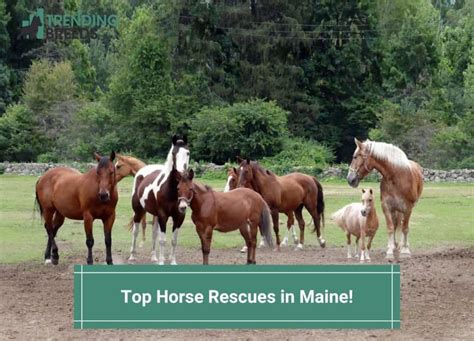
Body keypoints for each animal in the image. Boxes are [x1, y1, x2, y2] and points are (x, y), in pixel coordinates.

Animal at [130, 134, 191, 264]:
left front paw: (172, 261)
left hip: (155, 215)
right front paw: (162, 262)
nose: (182, 174)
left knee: (154, 233)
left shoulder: (179, 217)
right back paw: (132, 256)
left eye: (187, 152)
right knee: (135, 231)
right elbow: (163, 240)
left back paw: (154, 257)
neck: (171, 190)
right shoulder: (163, 216)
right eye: (174, 153)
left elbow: (173, 240)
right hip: (138, 211)